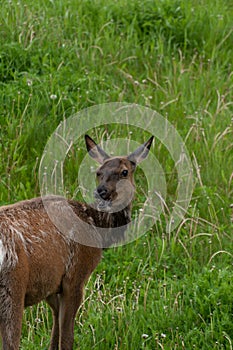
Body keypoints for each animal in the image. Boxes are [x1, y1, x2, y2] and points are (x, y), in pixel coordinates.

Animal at [0, 134, 153, 350]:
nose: (101, 191)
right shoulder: (75, 275)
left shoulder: (51, 283)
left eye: (124, 171)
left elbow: (55, 331)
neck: (96, 226)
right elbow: (67, 337)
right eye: (99, 172)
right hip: (12, 286)